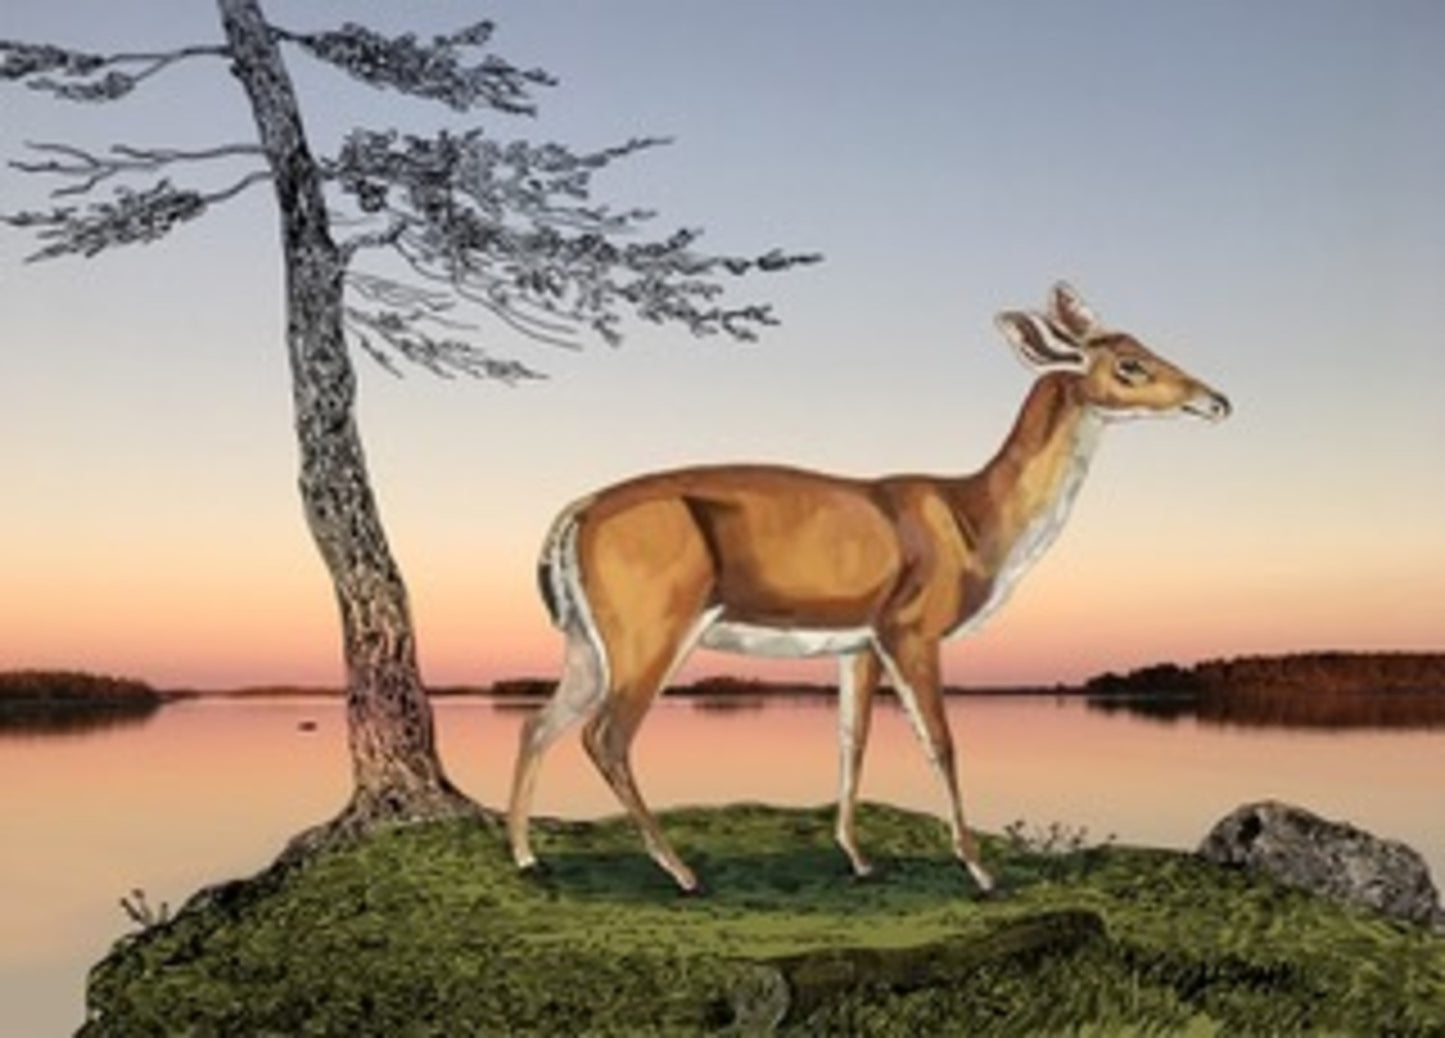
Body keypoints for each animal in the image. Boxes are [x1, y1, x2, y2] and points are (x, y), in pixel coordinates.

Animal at [507, 282, 1230, 895]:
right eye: (1129, 364)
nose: (1216, 400)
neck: (975, 521)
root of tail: (575, 514)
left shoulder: (859, 641)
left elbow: (851, 741)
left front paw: (857, 858)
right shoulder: (912, 625)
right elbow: (940, 741)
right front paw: (979, 871)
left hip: (589, 640)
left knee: (538, 722)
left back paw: (526, 855)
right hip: (651, 623)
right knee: (605, 736)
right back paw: (681, 872)